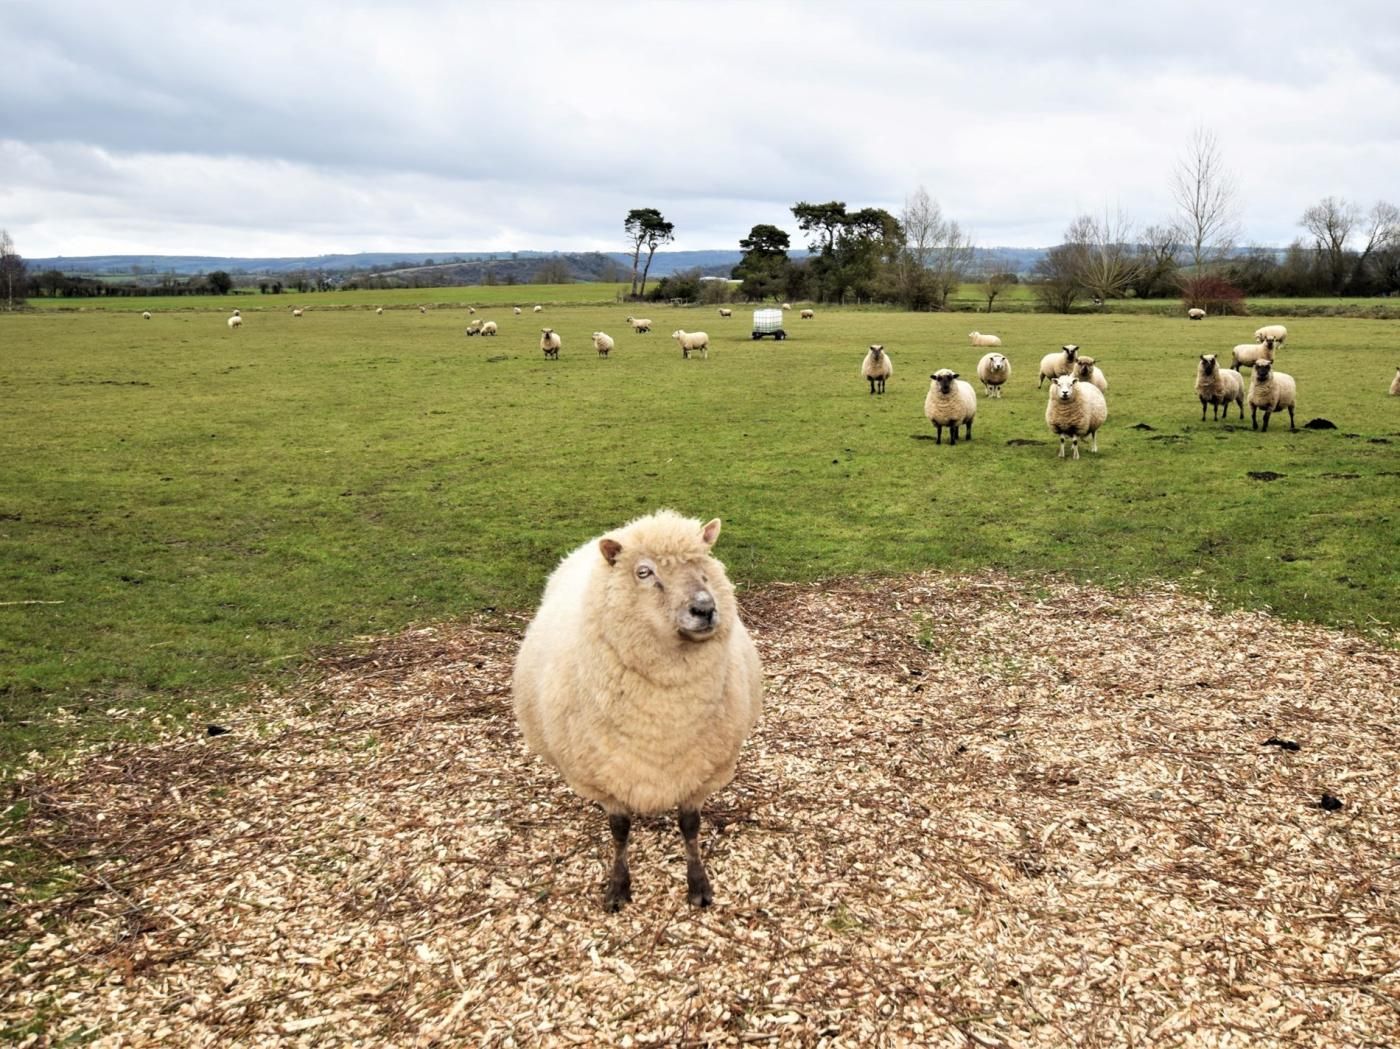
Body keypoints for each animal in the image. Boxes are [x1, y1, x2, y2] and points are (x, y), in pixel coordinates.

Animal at [511, 510, 763, 911]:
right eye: (644, 572)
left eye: (704, 565)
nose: (705, 609)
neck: (664, 718)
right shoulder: (606, 776)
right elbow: (619, 830)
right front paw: (618, 885)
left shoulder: (701, 772)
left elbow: (690, 826)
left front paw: (698, 884)